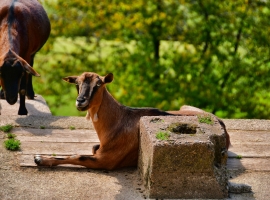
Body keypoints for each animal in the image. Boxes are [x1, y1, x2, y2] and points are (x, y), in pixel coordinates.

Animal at [33, 72, 228, 170]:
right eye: (77, 84)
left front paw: (40, 159)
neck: (118, 122)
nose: (81, 101)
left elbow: (77, 156)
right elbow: (92, 148)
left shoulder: (106, 161)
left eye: (98, 84)